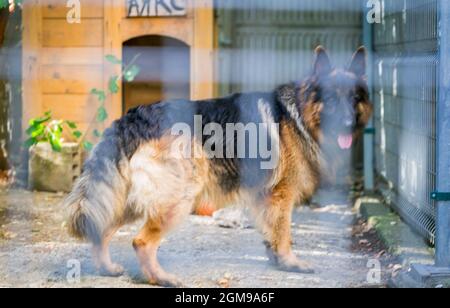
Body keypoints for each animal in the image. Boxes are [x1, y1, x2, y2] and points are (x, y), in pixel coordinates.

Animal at [64, 45, 372, 286]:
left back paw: (107, 269)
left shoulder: (264, 197)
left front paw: (275, 259)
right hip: (177, 198)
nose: (347, 123)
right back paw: (161, 278)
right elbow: (284, 232)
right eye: (330, 99)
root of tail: (132, 117)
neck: (298, 113)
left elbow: (271, 231)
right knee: (141, 242)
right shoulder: (281, 195)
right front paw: (290, 262)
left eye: (354, 99)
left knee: (101, 231)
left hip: (133, 200)